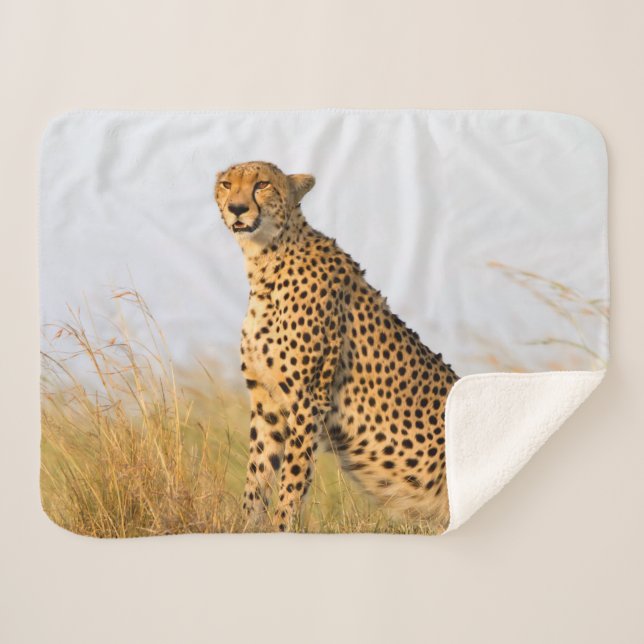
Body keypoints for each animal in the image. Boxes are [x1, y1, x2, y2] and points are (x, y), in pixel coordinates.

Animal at [214, 160, 458, 533]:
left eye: (262, 185)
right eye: (227, 184)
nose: (237, 209)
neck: (265, 260)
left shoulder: (308, 399)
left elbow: (292, 481)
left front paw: (283, 529)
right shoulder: (266, 401)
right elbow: (257, 476)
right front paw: (246, 528)